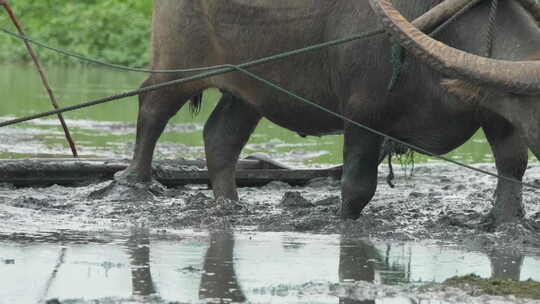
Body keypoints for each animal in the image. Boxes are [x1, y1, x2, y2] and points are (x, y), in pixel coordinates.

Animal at [117, 0, 540, 227]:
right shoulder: (362, 115)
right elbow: (357, 186)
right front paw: (344, 220)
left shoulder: (498, 114)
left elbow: (512, 166)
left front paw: (507, 221)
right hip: (177, 67)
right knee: (151, 110)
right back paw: (135, 182)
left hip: (250, 90)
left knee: (220, 137)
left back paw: (229, 204)